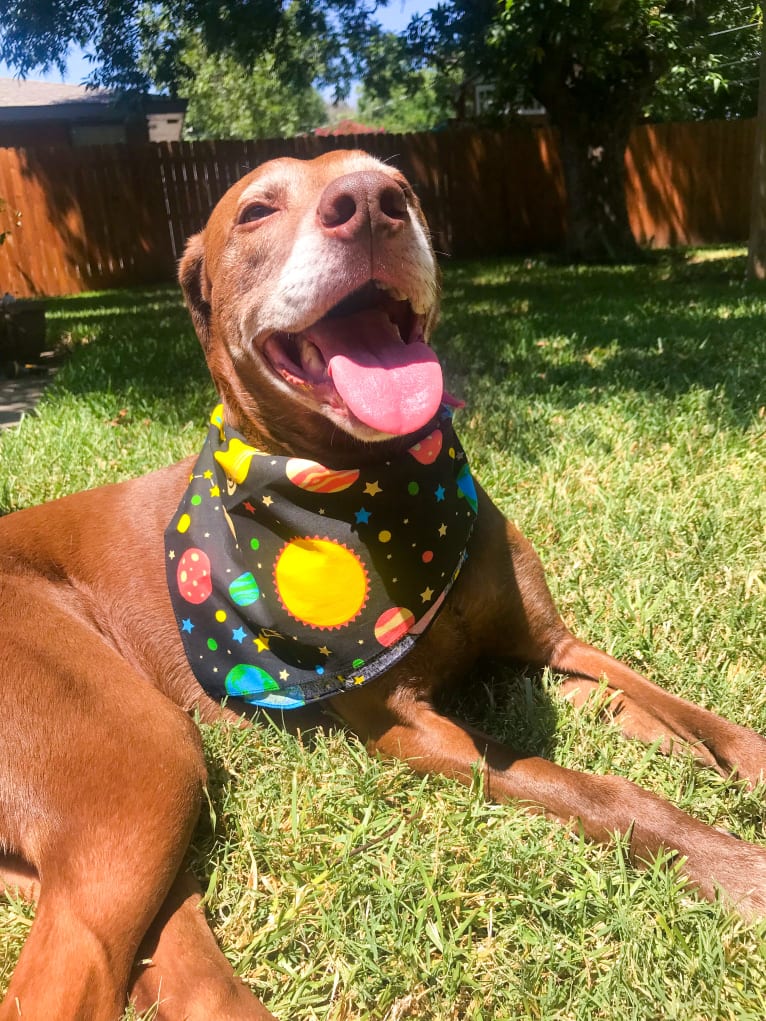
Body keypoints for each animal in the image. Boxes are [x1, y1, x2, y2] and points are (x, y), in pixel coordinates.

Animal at [1, 151, 766, 1021]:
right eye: (257, 209)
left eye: (398, 184)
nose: (370, 203)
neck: (380, 493)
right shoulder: (413, 728)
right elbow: (600, 792)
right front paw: (731, 864)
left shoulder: (554, 644)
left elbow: (691, 713)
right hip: (139, 752)